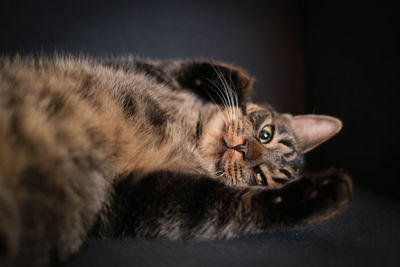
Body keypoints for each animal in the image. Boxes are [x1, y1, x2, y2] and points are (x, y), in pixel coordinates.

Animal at [0, 55, 352, 266]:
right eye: (266, 134)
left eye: (261, 177)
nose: (245, 149)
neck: (190, 130)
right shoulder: (135, 65)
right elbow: (180, 67)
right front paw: (238, 85)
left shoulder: (132, 198)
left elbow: (234, 203)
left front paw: (316, 194)